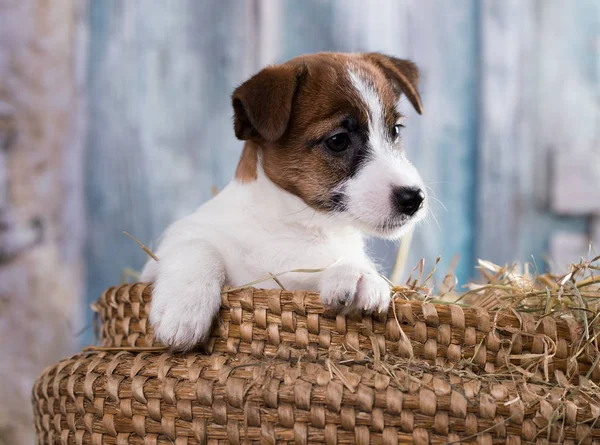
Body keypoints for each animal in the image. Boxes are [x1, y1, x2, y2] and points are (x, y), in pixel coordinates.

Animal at [141, 53, 426, 350]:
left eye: (395, 130)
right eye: (338, 140)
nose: (414, 198)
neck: (296, 226)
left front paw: (360, 274)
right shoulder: (165, 253)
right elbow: (197, 247)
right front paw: (183, 310)